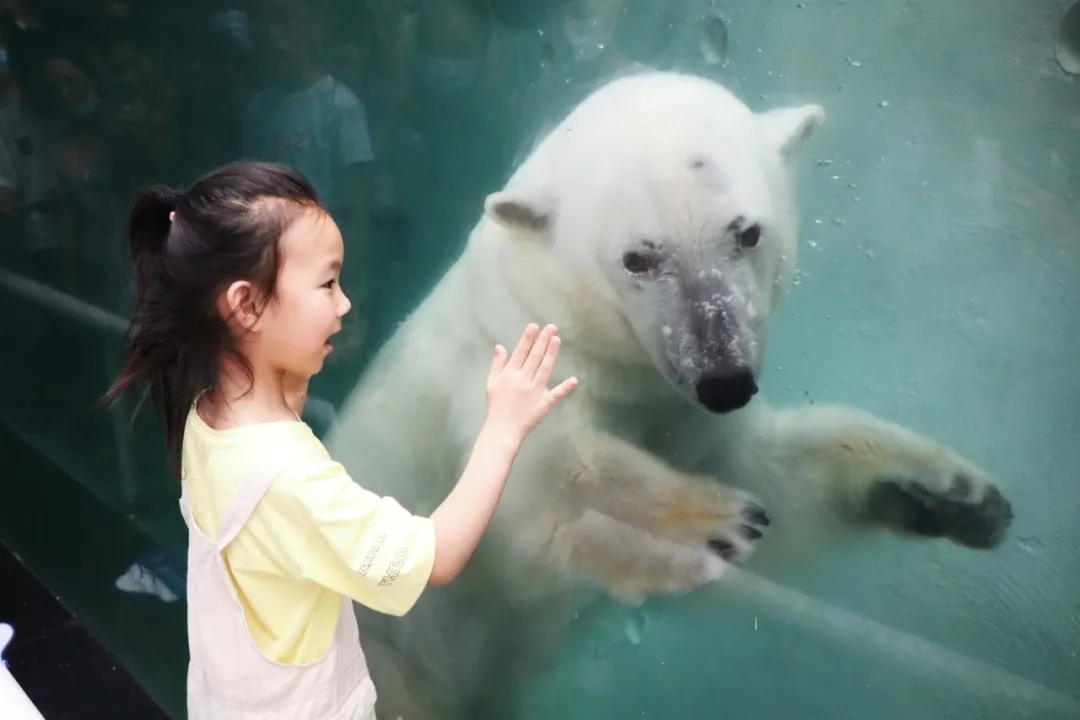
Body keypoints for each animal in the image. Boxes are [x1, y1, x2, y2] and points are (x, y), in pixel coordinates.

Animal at [324, 69, 1015, 720]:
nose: (724, 379)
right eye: (638, 258)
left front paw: (951, 493)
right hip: (380, 655)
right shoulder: (494, 371)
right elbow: (542, 484)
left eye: (747, 232)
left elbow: (781, 475)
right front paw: (712, 526)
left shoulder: (689, 421)